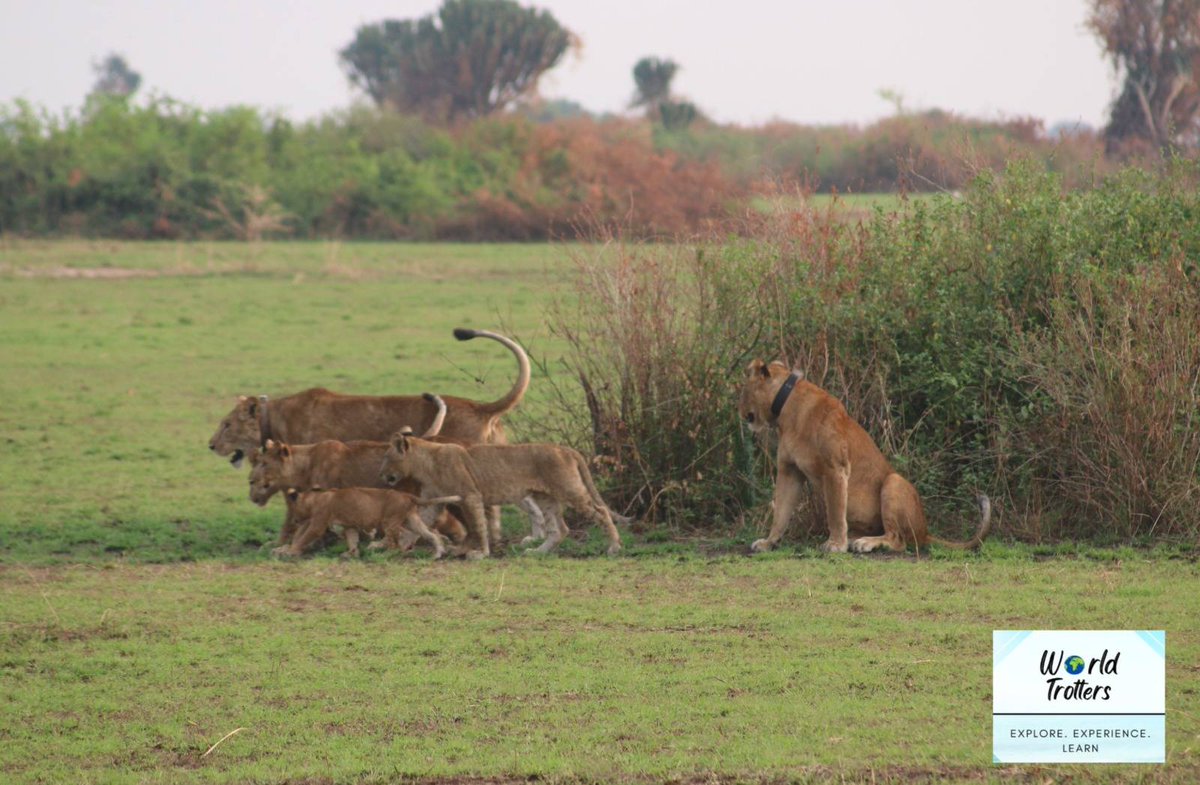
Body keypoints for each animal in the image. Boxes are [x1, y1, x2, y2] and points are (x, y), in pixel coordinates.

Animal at [275, 487, 462, 559]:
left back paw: (385, 553)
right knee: (430, 534)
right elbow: (352, 539)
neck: (313, 499)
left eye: (293, 508)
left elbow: (304, 537)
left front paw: (291, 550)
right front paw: (351, 553)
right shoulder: (349, 526)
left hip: (389, 521)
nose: (295, 520)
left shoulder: (318, 523)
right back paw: (438, 553)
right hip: (411, 520)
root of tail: (407, 495)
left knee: (396, 541)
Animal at [378, 431, 623, 559]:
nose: (381, 475)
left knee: (601, 512)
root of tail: (565, 449)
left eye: (387, 457)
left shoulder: (471, 495)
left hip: (570, 490)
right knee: (560, 529)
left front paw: (482, 553)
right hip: (546, 497)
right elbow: (418, 523)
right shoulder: (434, 501)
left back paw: (613, 547)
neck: (425, 462)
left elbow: (478, 526)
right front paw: (390, 545)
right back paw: (537, 551)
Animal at [737, 360, 991, 554]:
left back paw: (864, 543)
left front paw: (835, 545)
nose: (738, 411)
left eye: (742, 389)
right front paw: (769, 542)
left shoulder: (835, 468)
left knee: (898, 540)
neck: (786, 413)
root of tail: (926, 531)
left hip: (893, 481)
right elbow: (781, 511)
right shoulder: (790, 471)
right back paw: (855, 539)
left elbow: (835, 511)